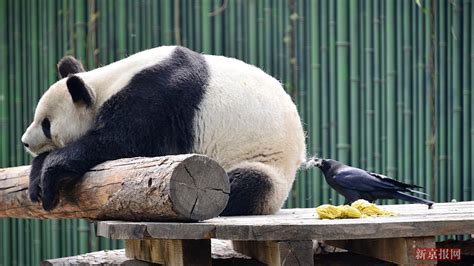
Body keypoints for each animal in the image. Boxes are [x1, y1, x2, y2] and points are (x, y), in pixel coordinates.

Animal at [20, 46, 306, 216]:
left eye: (46, 125)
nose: (25, 142)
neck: (105, 84)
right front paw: (37, 178)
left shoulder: (157, 99)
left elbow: (121, 144)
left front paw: (50, 174)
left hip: (265, 164)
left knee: (246, 183)